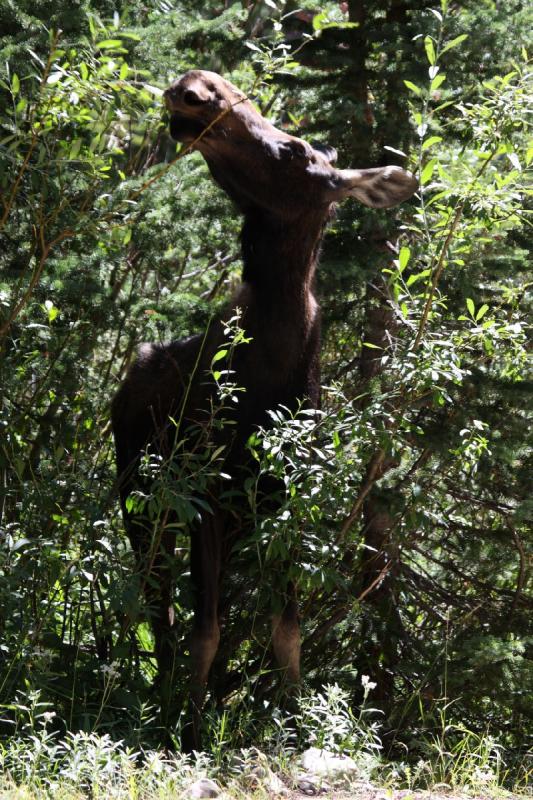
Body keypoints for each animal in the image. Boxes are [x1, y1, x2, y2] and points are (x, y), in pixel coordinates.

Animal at [111, 70, 416, 752]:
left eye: (296, 150)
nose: (197, 89)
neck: (271, 374)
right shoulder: (204, 497)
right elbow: (206, 630)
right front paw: (189, 724)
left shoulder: (286, 501)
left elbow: (286, 629)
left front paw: (296, 719)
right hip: (139, 496)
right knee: (158, 603)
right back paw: (157, 695)